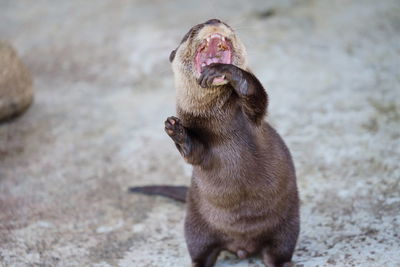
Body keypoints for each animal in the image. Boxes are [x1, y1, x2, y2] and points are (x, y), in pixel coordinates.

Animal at [130, 18, 298, 267]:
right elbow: (193, 153)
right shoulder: (200, 147)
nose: (213, 21)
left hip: (287, 226)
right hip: (196, 226)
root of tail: (243, 245)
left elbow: (257, 95)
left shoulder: (256, 117)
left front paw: (225, 71)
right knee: (201, 252)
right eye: (190, 32)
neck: (219, 120)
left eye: (223, 21)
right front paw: (175, 129)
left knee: (277, 252)